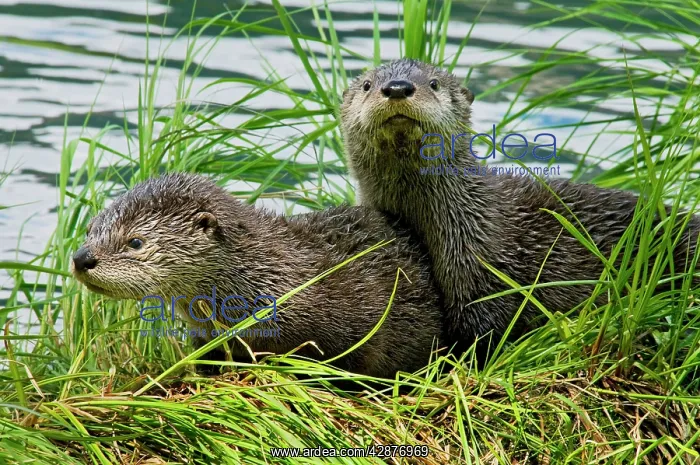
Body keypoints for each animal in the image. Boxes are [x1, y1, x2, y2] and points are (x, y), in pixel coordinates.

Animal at [341, 58, 700, 358]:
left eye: (434, 83)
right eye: (367, 85)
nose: (398, 87)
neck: (472, 220)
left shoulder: (485, 275)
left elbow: (483, 329)